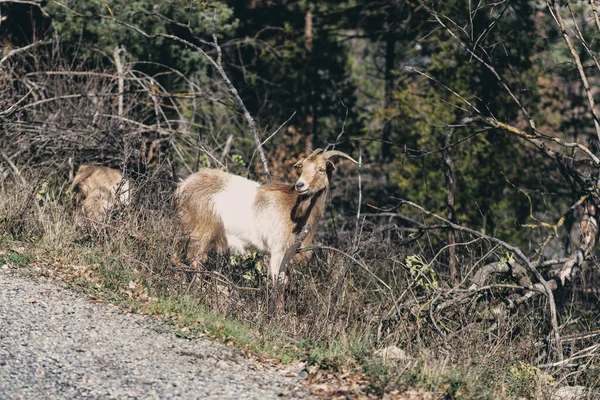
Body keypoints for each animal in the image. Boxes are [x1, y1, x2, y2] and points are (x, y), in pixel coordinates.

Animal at [176, 147, 358, 282]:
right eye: (302, 168)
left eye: (321, 169)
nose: (300, 185)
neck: (294, 208)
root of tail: (183, 186)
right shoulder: (278, 251)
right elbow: (278, 282)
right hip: (201, 232)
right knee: (195, 261)